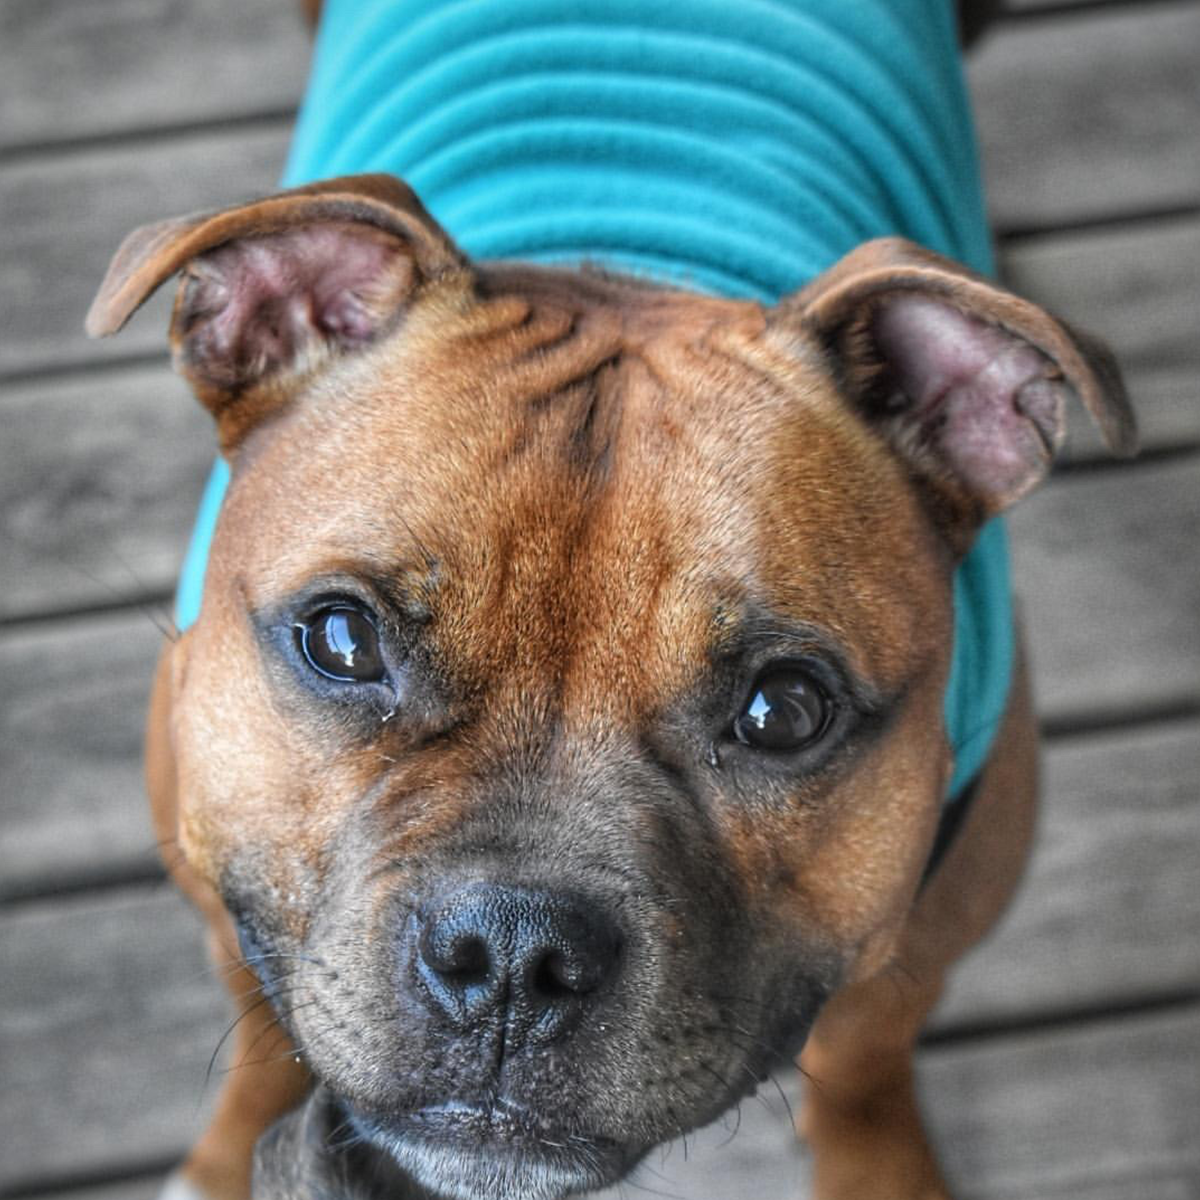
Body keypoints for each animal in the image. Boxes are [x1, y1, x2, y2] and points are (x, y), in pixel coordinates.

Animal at [87, 2, 1132, 1200]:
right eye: (342, 640)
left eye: (784, 711)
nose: (514, 953)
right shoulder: (224, 882)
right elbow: (264, 1026)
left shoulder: (920, 936)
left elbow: (864, 1058)